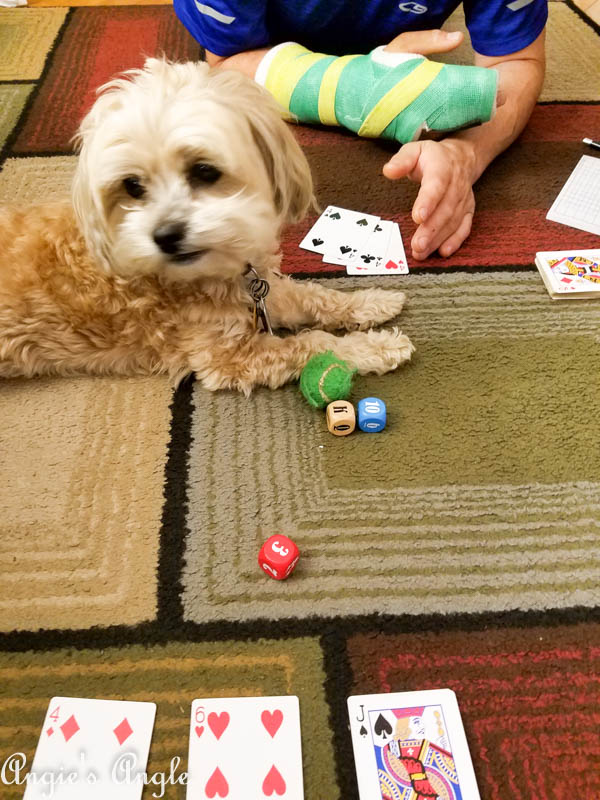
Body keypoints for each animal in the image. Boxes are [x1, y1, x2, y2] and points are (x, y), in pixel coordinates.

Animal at [0, 57, 412, 392]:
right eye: (132, 185)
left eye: (204, 170)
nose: (166, 236)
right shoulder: (228, 356)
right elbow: (312, 344)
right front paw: (377, 346)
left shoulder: (265, 292)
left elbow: (313, 296)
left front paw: (372, 301)